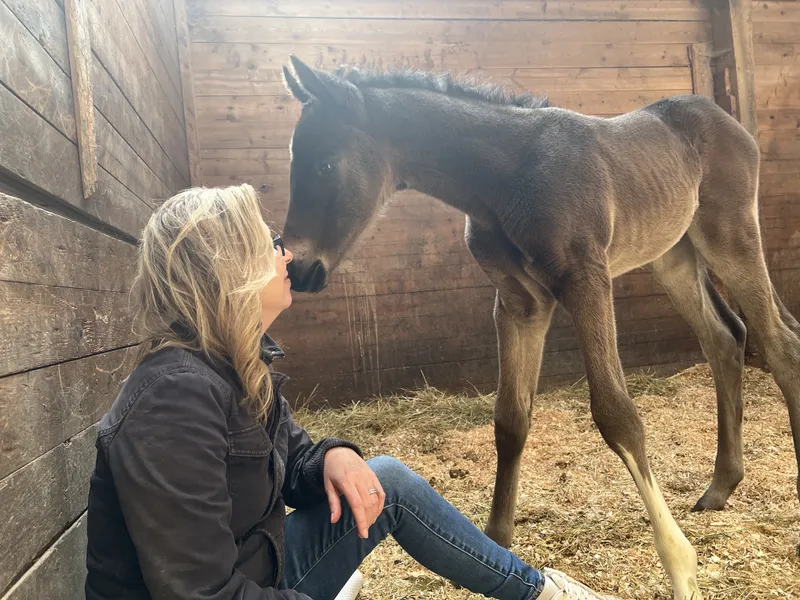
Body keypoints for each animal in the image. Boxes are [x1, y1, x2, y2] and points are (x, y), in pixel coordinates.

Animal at [279, 55, 800, 600]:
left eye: (326, 164)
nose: (299, 269)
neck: (505, 179)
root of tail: (726, 120)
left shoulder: (587, 281)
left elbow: (618, 416)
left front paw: (680, 568)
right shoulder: (520, 303)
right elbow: (511, 419)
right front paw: (496, 541)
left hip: (729, 233)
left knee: (779, 343)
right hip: (673, 254)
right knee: (725, 337)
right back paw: (720, 486)